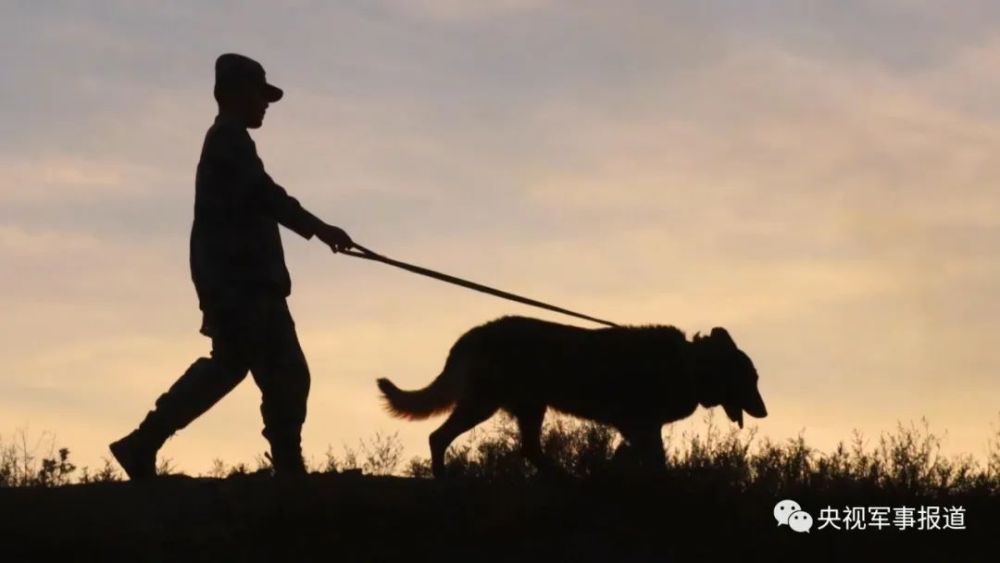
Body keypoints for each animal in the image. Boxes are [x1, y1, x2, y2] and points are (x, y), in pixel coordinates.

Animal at [376, 316, 764, 478]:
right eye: (752, 379)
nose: (765, 412)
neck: (691, 365)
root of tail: (473, 334)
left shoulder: (636, 428)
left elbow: (628, 458)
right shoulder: (638, 425)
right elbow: (655, 462)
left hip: (528, 407)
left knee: (530, 450)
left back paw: (561, 476)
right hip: (485, 403)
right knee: (437, 436)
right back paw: (442, 477)